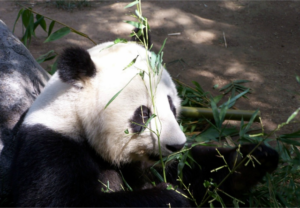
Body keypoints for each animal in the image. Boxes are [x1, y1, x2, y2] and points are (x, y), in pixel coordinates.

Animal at [9, 41, 280, 208]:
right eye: (143, 114)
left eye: (172, 106)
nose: (176, 145)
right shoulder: (51, 146)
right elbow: (59, 201)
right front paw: (170, 196)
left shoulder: (158, 163)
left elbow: (198, 175)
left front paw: (252, 160)